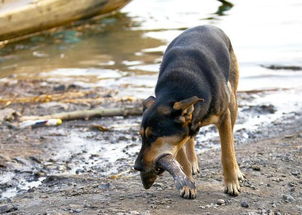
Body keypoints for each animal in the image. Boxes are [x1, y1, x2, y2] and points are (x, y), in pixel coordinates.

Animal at [133, 25, 244, 200]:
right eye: (141, 136)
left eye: (153, 136)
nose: (137, 167)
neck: (177, 89)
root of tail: (208, 25)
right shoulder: (176, 138)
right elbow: (181, 157)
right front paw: (187, 184)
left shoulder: (224, 117)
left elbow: (227, 153)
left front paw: (231, 184)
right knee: (189, 140)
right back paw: (192, 162)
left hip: (232, 102)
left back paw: (237, 172)